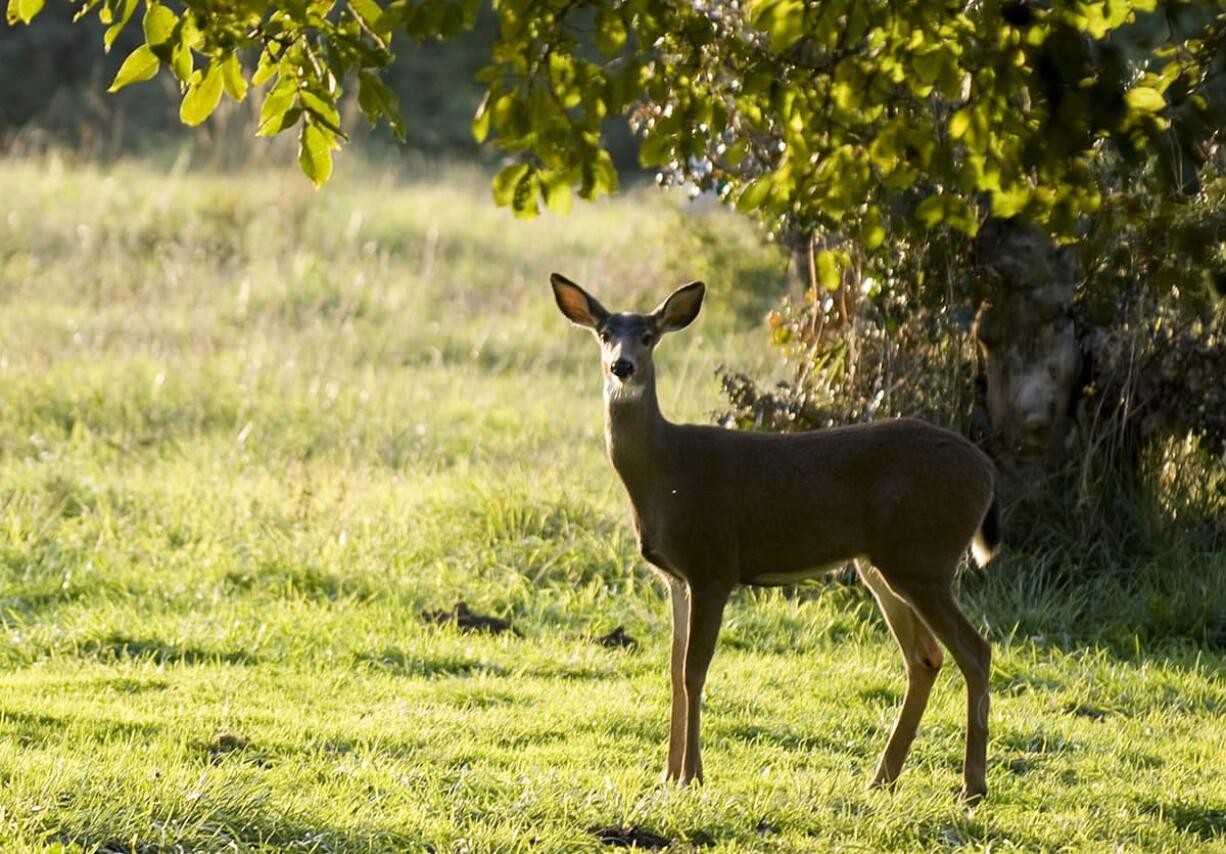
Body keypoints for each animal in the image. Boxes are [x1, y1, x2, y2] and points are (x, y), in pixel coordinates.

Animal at [551, 272, 1000, 798]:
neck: (665, 473)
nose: (622, 366)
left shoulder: (713, 564)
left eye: (648, 335)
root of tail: (988, 473)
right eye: (604, 333)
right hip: (883, 563)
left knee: (975, 651)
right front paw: (666, 774)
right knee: (925, 658)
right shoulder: (675, 576)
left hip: (924, 558)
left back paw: (972, 786)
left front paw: (691, 775)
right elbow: (673, 669)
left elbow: (694, 670)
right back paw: (881, 778)